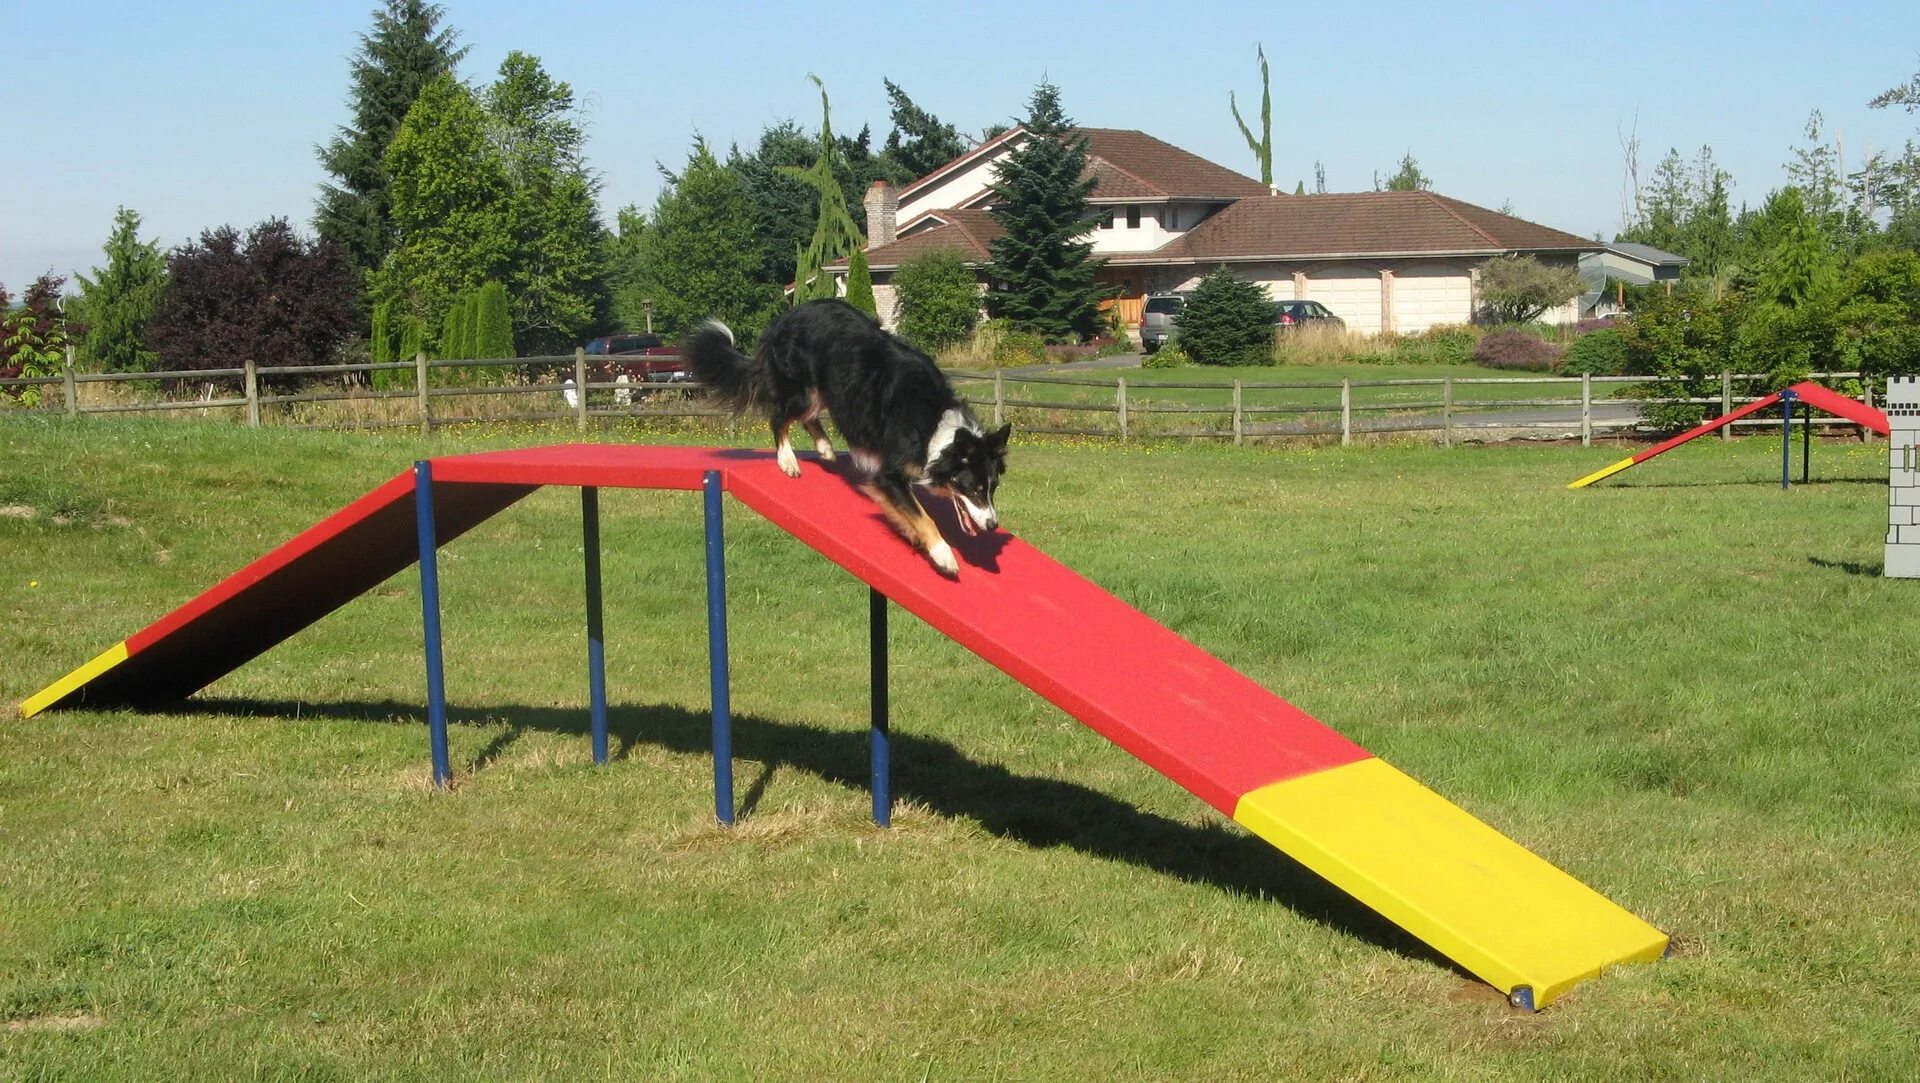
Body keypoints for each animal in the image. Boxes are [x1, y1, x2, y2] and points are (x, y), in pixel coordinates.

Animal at [683, 297, 1013, 576]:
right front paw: (943, 555)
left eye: (993, 488)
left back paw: (826, 448)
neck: (935, 426)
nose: (992, 525)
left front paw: (914, 536)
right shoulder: (889, 474)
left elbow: (911, 513)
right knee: (779, 417)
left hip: (828, 392)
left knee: (809, 419)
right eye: (974, 489)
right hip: (803, 389)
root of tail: (786, 315)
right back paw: (788, 460)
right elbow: (924, 516)